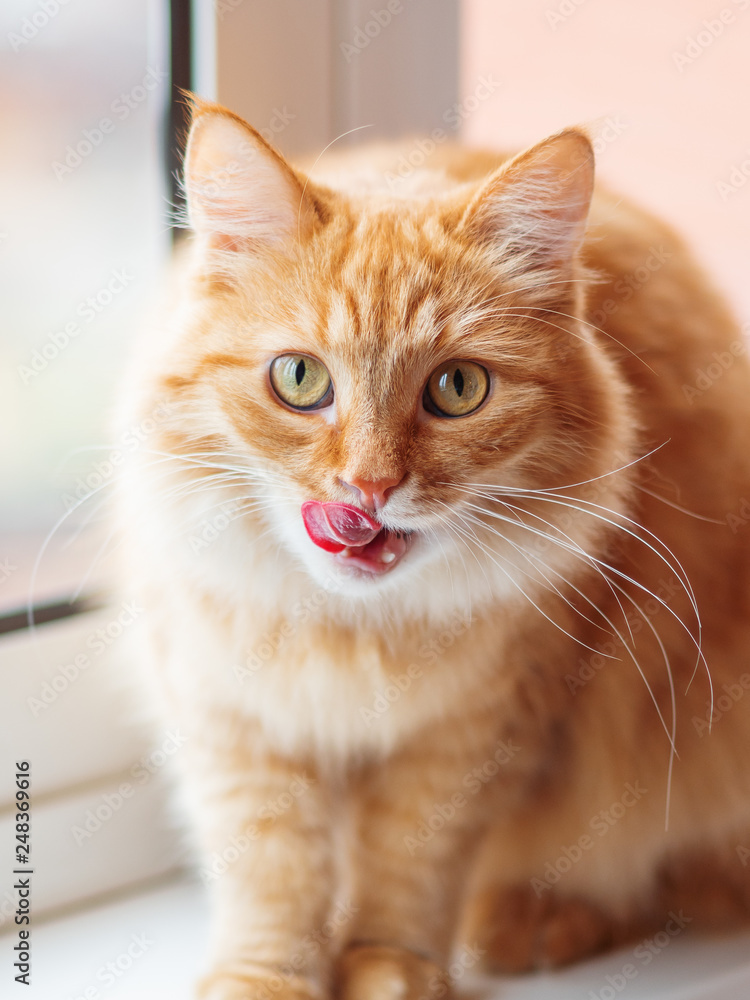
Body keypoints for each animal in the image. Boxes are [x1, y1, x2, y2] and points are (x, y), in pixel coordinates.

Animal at [116, 95, 750, 1000]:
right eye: (299, 379)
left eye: (458, 389)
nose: (369, 487)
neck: (350, 628)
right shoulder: (230, 717)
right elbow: (271, 874)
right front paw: (264, 980)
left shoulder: (474, 730)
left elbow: (410, 867)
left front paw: (392, 971)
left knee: (658, 878)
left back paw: (532, 926)